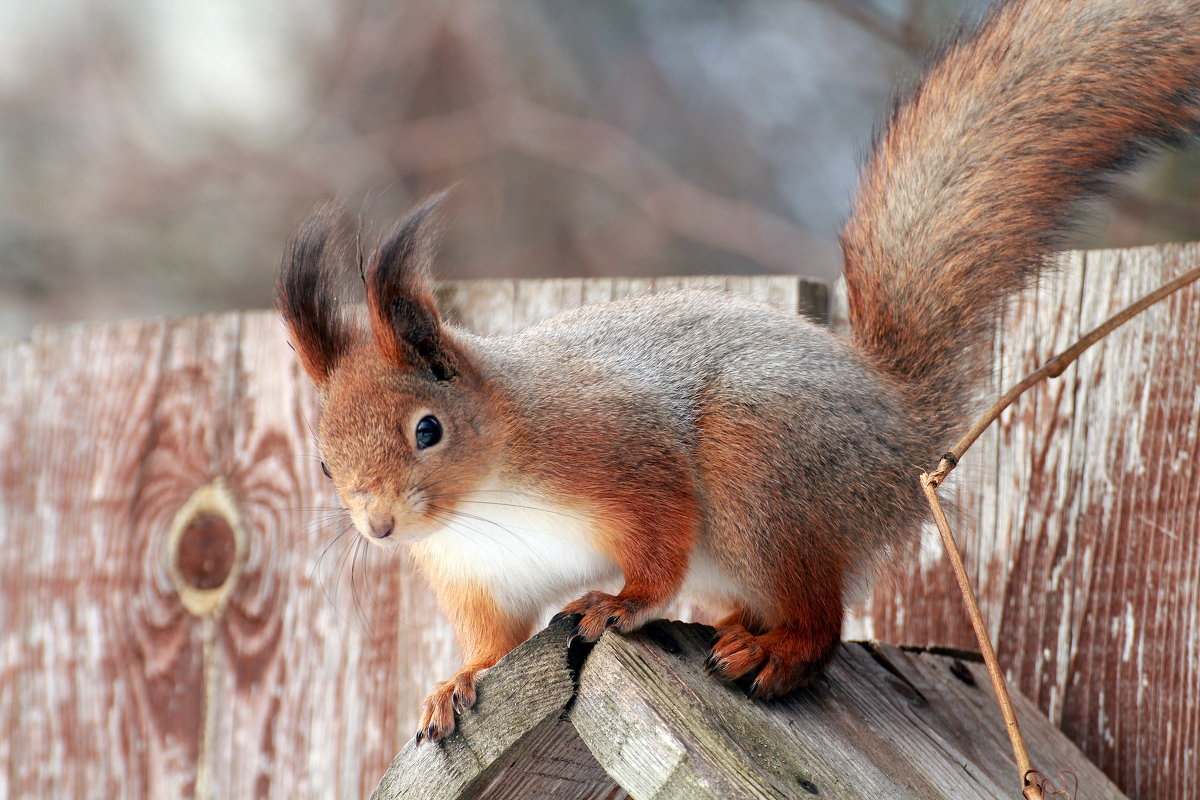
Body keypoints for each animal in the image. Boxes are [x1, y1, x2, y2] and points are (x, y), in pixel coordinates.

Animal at [276, 0, 1200, 743]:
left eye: (427, 429)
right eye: (322, 462)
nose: (378, 528)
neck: (486, 497)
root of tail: (899, 430)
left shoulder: (617, 450)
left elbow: (659, 537)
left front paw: (620, 602)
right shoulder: (480, 580)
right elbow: (495, 642)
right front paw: (456, 683)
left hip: (762, 469)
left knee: (821, 618)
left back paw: (776, 652)